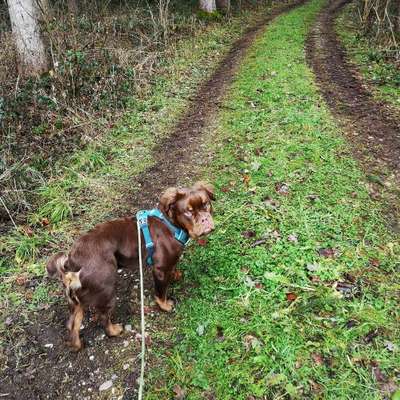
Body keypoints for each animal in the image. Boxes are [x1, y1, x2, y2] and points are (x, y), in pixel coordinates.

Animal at [46, 181, 216, 350]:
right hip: (106, 291)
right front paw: (165, 305)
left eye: (206, 204)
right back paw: (114, 330)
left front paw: (175, 275)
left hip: (75, 302)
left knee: (72, 324)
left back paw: (77, 345)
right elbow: (160, 293)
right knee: (103, 317)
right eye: (188, 212)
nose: (205, 219)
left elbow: (173, 267)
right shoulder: (160, 269)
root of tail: (71, 263)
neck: (170, 224)